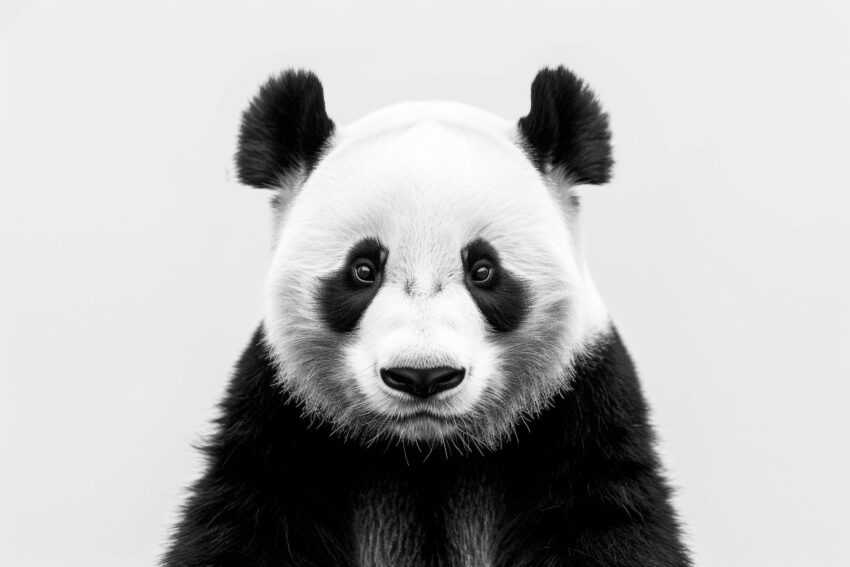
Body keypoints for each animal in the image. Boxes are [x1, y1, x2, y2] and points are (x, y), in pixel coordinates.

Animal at [163, 67, 691, 567]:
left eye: (483, 270)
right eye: (362, 270)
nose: (422, 377)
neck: (427, 454)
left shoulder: (583, 409)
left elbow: (606, 520)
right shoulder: (278, 419)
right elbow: (247, 520)